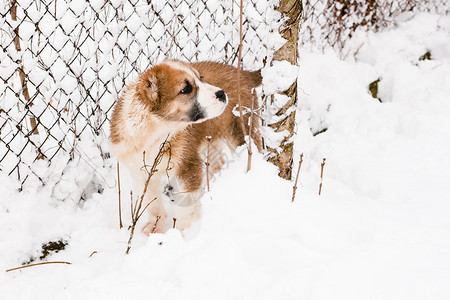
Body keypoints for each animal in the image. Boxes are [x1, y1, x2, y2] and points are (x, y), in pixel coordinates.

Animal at [109, 60, 262, 234]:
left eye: (201, 78)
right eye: (186, 89)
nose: (222, 93)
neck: (156, 132)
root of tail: (244, 73)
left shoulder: (188, 166)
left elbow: (184, 209)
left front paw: (180, 234)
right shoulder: (140, 171)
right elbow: (152, 201)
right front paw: (155, 226)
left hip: (240, 130)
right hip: (210, 139)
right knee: (217, 163)